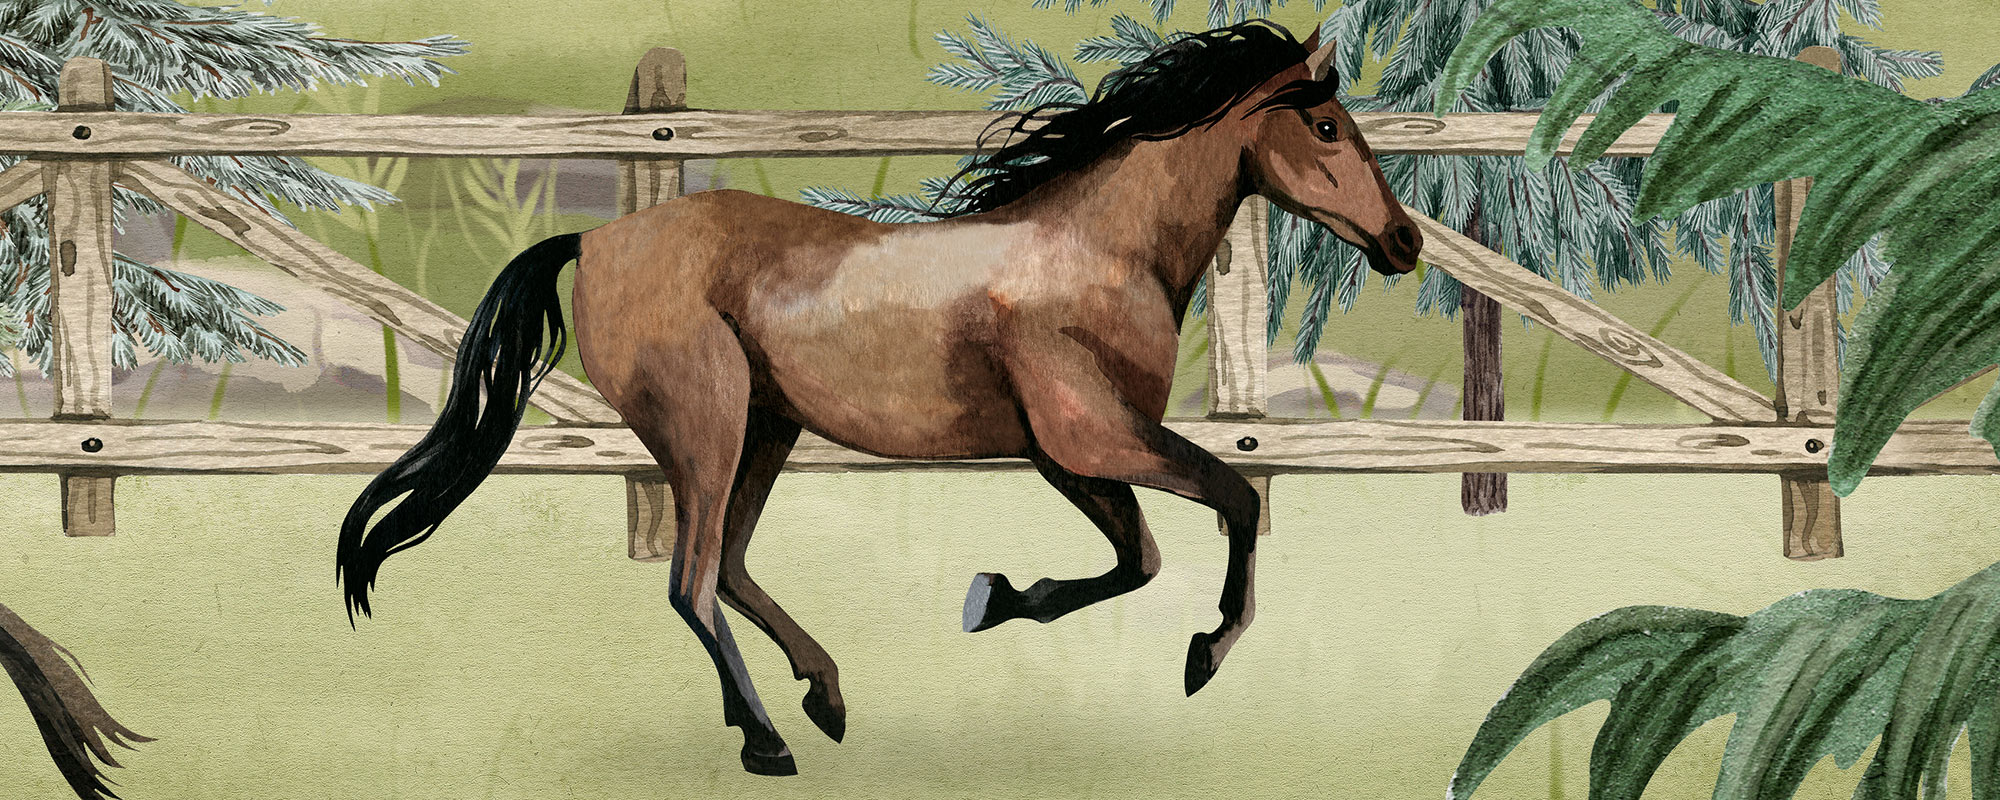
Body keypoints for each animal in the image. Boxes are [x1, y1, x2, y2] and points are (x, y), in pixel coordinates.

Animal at [338, 20, 1420, 776]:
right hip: (705, 426)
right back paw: (767, 739)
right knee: (692, 578)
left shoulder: (1065, 454)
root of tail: (593, 239)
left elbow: (1137, 558)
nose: (1404, 242)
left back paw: (823, 696)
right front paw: (1205, 652)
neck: (1099, 252)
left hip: (767, 428)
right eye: (1327, 125)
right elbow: (1225, 500)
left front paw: (994, 599)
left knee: (731, 566)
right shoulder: (1094, 436)